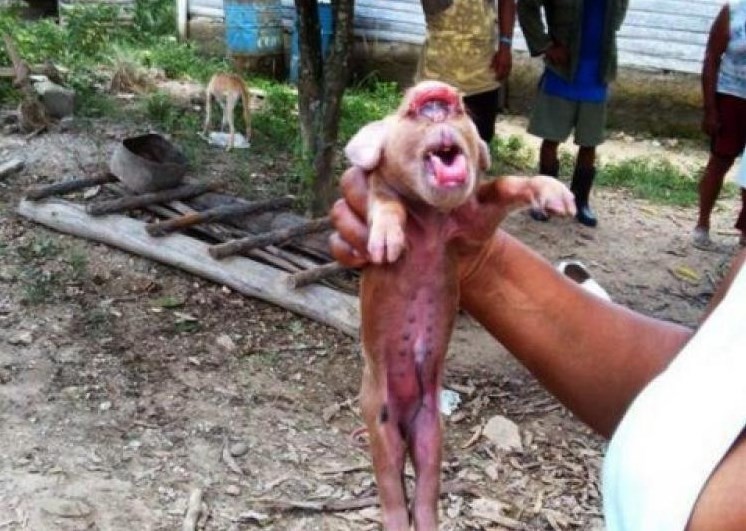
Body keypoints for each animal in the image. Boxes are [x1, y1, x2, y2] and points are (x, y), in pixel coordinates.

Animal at [344, 80, 576, 530]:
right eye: (405, 109)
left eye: (462, 112)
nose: (436, 92)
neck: (431, 218)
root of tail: (405, 418)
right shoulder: (379, 192)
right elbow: (385, 201)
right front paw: (385, 247)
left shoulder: (471, 227)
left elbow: (503, 186)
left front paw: (561, 200)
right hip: (377, 421)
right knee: (391, 489)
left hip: (432, 431)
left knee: (425, 491)